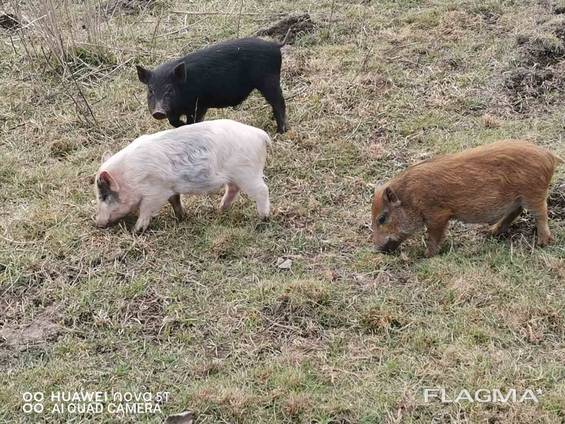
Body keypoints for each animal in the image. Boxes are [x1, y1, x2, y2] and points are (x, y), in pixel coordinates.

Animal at [94, 119, 270, 232]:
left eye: (104, 196)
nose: (97, 223)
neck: (131, 177)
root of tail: (259, 134)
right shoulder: (170, 188)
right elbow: (175, 200)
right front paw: (181, 217)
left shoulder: (156, 192)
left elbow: (145, 209)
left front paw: (136, 230)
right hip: (236, 176)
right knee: (233, 189)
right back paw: (220, 210)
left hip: (247, 173)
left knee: (263, 190)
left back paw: (264, 218)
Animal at [135, 38, 286, 132]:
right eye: (150, 90)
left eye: (170, 90)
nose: (158, 112)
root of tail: (274, 46)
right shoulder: (175, 111)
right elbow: (174, 122)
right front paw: (182, 126)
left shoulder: (199, 104)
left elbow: (193, 120)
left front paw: (188, 126)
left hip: (268, 79)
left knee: (279, 103)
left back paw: (281, 131)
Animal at [372, 141, 560, 256]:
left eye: (382, 218)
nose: (377, 249)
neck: (411, 197)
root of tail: (549, 155)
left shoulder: (438, 214)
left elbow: (434, 236)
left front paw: (426, 255)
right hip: (518, 198)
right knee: (516, 212)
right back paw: (489, 232)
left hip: (533, 194)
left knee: (542, 213)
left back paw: (543, 243)